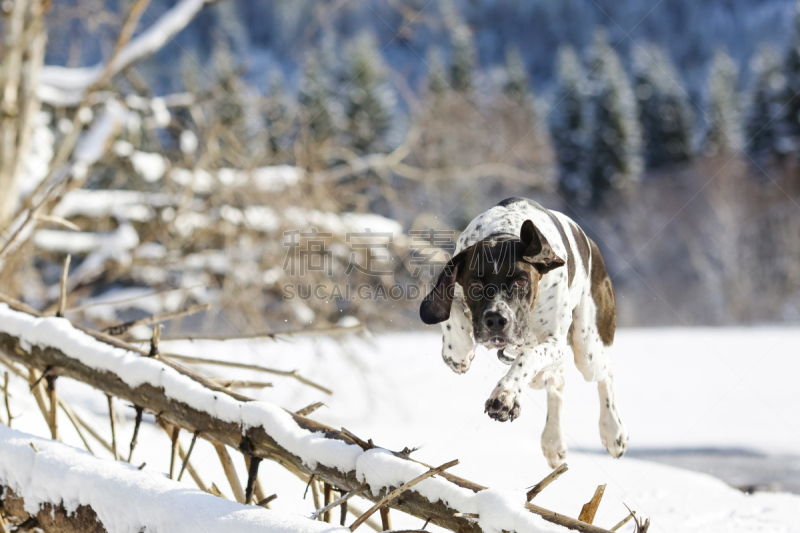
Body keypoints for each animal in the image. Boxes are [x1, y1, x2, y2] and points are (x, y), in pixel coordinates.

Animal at [422, 197, 628, 468]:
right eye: (475, 285)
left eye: (521, 282)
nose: (496, 319)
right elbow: (452, 313)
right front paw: (460, 351)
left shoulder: (555, 342)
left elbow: (528, 358)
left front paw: (505, 395)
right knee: (556, 382)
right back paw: (553, 441)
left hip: (589, 350)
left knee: (605, 374)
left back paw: (612, 429)